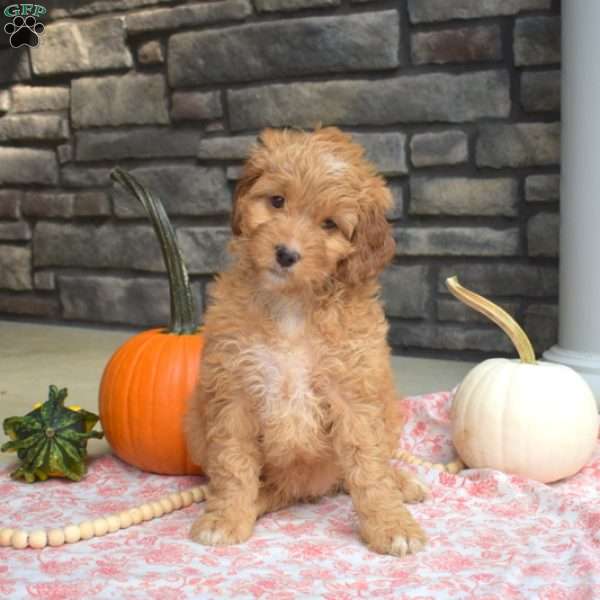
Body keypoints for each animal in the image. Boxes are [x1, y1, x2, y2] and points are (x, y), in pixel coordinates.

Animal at [185, 126, 428, 556]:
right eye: (277, 201)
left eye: (329, 224)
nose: (286, 254)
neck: (292, 304)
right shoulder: (233, 390)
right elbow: (233, 466)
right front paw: (226, 516)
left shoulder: (354, 394)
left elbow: (369, 470)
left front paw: (390, 524)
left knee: (357, 472)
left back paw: (402, 483)